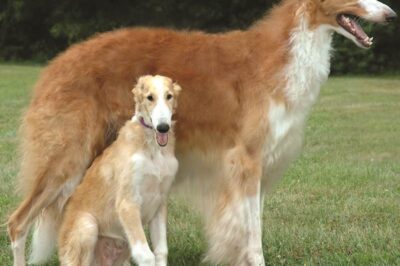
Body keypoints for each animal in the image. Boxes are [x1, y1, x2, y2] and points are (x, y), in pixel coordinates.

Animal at [57, 75, 181, 266]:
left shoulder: (160, 203)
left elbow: (161, 251)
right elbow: (146, 255)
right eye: (149, 97)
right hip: (88, 226)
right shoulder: (127, 203)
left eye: (169, 96)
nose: (163, 127)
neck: (152, 148)